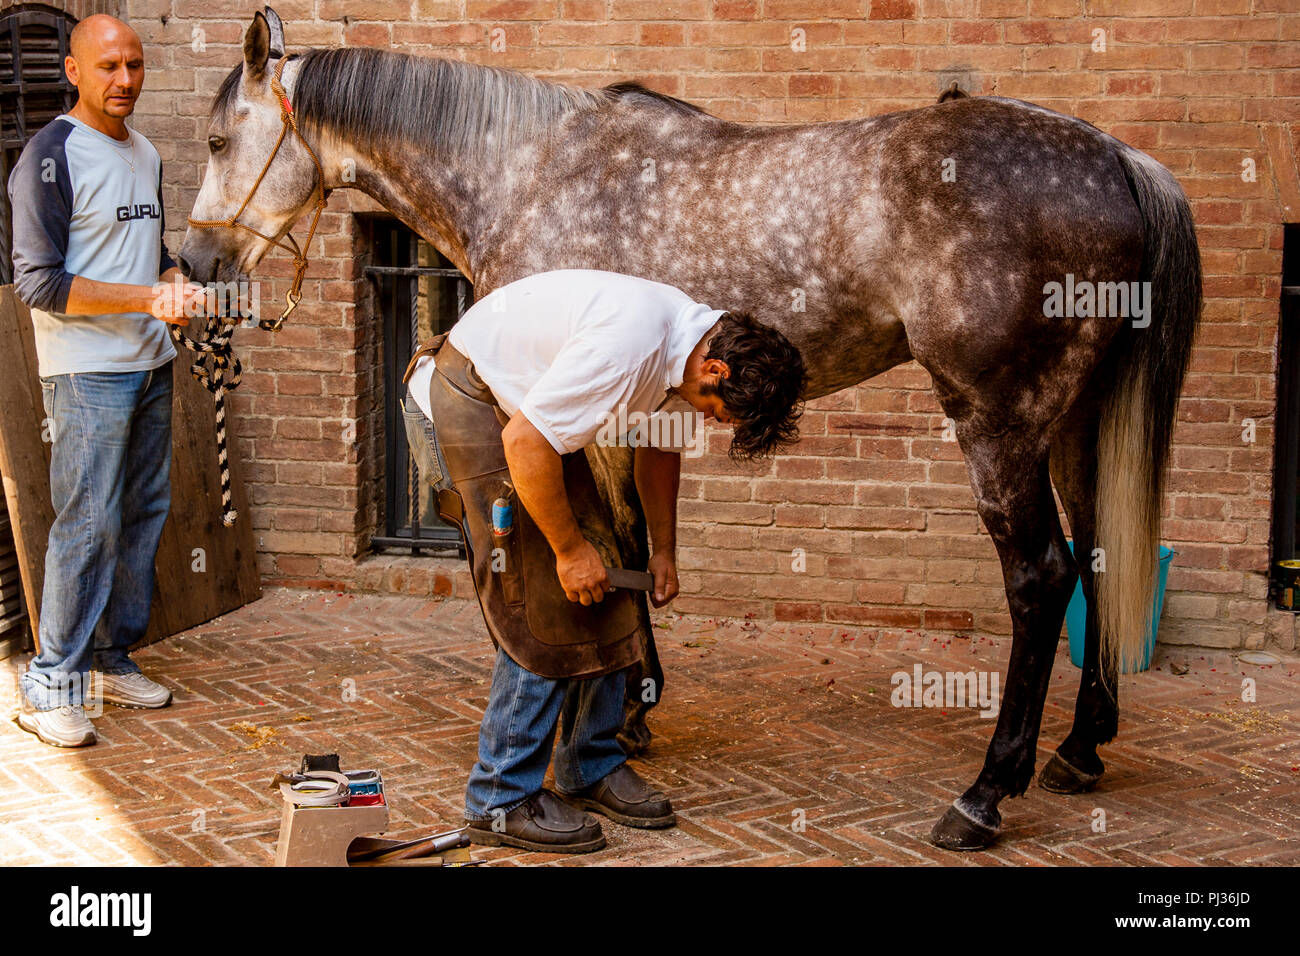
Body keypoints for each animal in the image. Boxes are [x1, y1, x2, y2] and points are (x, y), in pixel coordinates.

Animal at [178, 7, 1202, 851]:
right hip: (1072, 421)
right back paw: (1079, 751)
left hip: (998, 422)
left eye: (220, 138)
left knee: (1042, 577)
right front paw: (633, 708)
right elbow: (630, 540)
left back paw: (985, 794)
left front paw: (616, 711)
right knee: (1098, 554)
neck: (527, 168)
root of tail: (1118, 161)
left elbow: (598, 545)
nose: (194, 264)